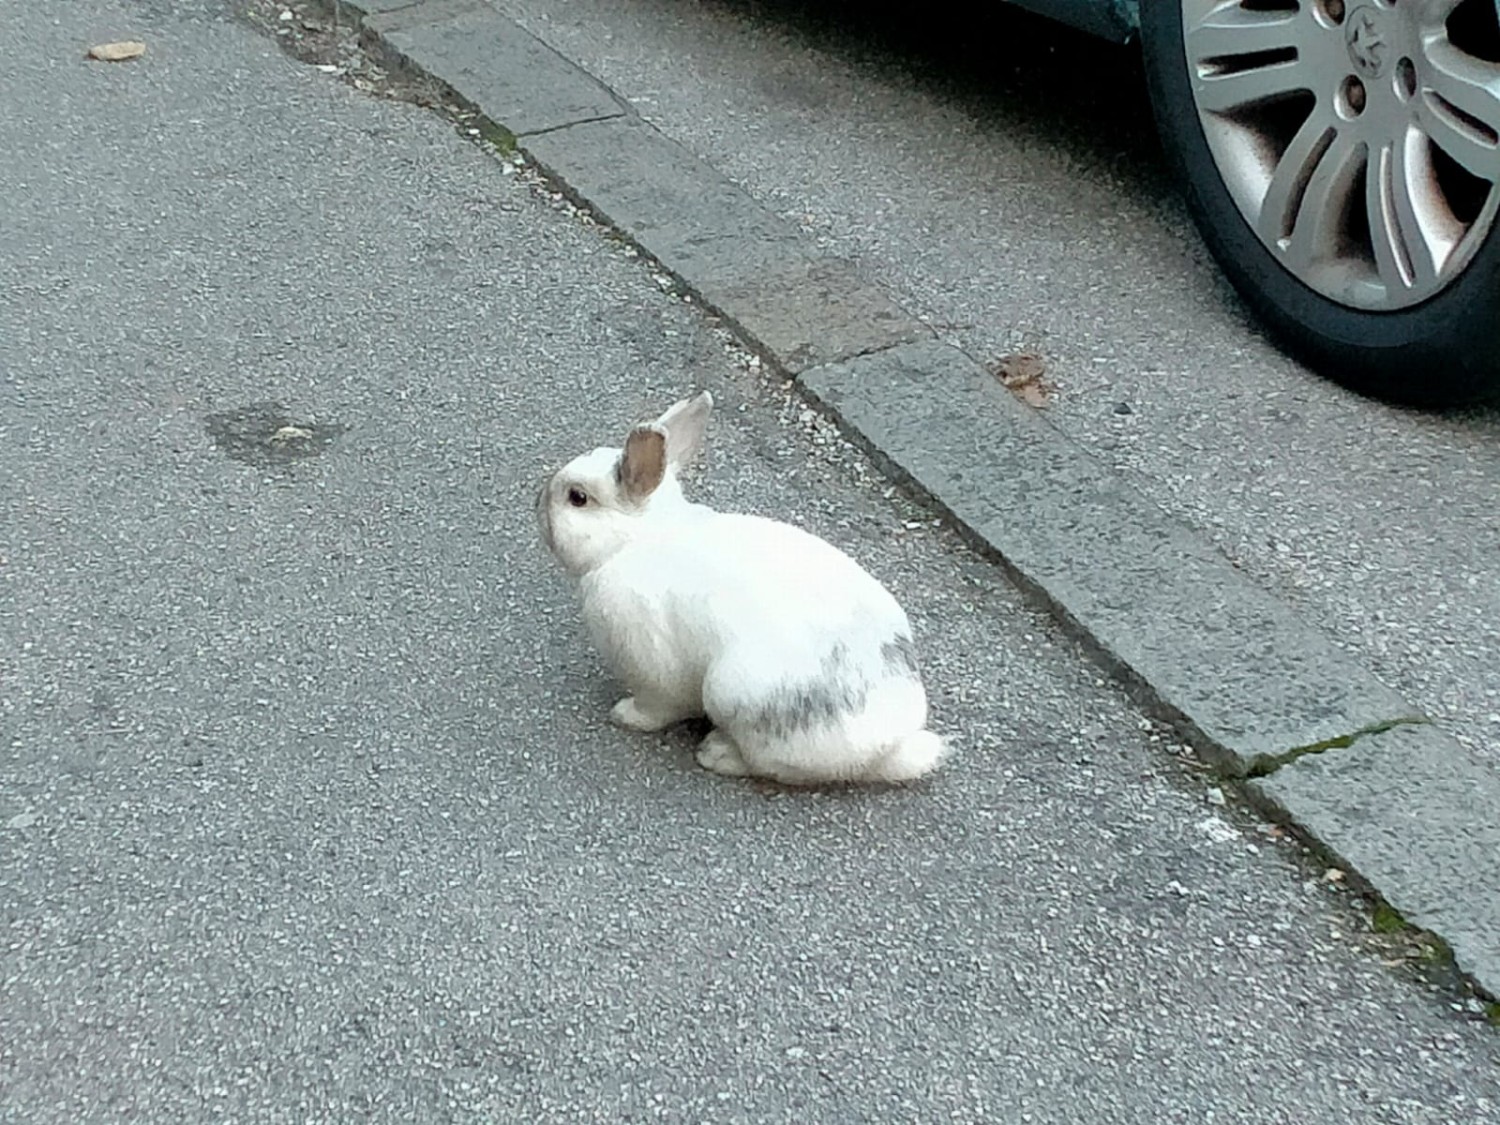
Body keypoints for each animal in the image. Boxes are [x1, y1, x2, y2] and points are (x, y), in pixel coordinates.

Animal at [537, 390, 947, 786]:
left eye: (578, 497)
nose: (537, 504)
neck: (632, 541)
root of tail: (887, 746)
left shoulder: (652, 670)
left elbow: (657, 707)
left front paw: (624, 715)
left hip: (731, 694)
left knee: (776, 766)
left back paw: (717, 754)